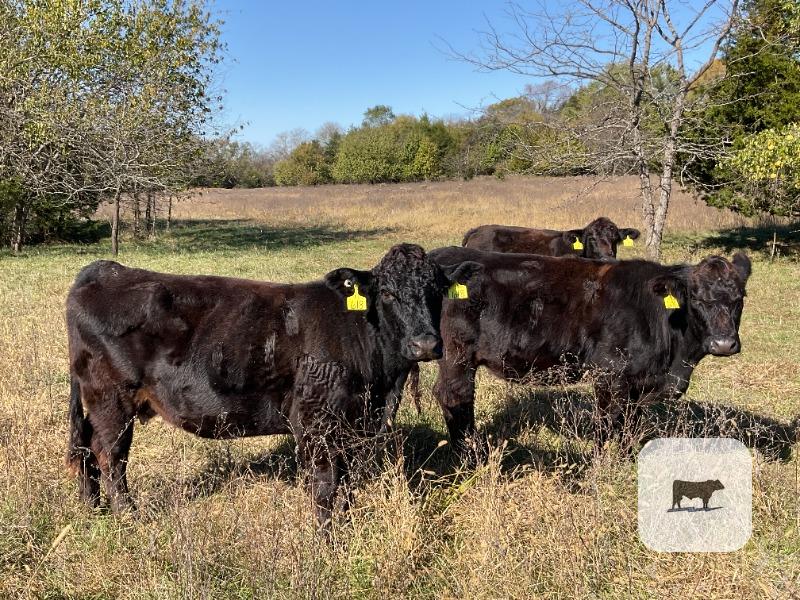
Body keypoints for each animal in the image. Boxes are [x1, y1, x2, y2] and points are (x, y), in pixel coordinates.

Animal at [66, 244, 481, 526]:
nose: (425, 344)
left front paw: (346, 523)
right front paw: (328, 539)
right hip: (111, 398)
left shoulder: (352, 424)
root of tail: (105, 269)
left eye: (436, 291)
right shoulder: (315, 421)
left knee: (87, 447)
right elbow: (326, 483)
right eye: (388, 293)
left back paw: (92, 508)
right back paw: (127, 515)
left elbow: (346, 481)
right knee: (110, 454)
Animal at [424, 246, 751, 449]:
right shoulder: (609, 374)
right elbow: (608, 425)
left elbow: (630, 426)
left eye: (740, 298)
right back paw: (470, 453)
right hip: (457, 355)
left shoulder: (638, 385)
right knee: (455, 396)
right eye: (696, 298)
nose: (724, 343)